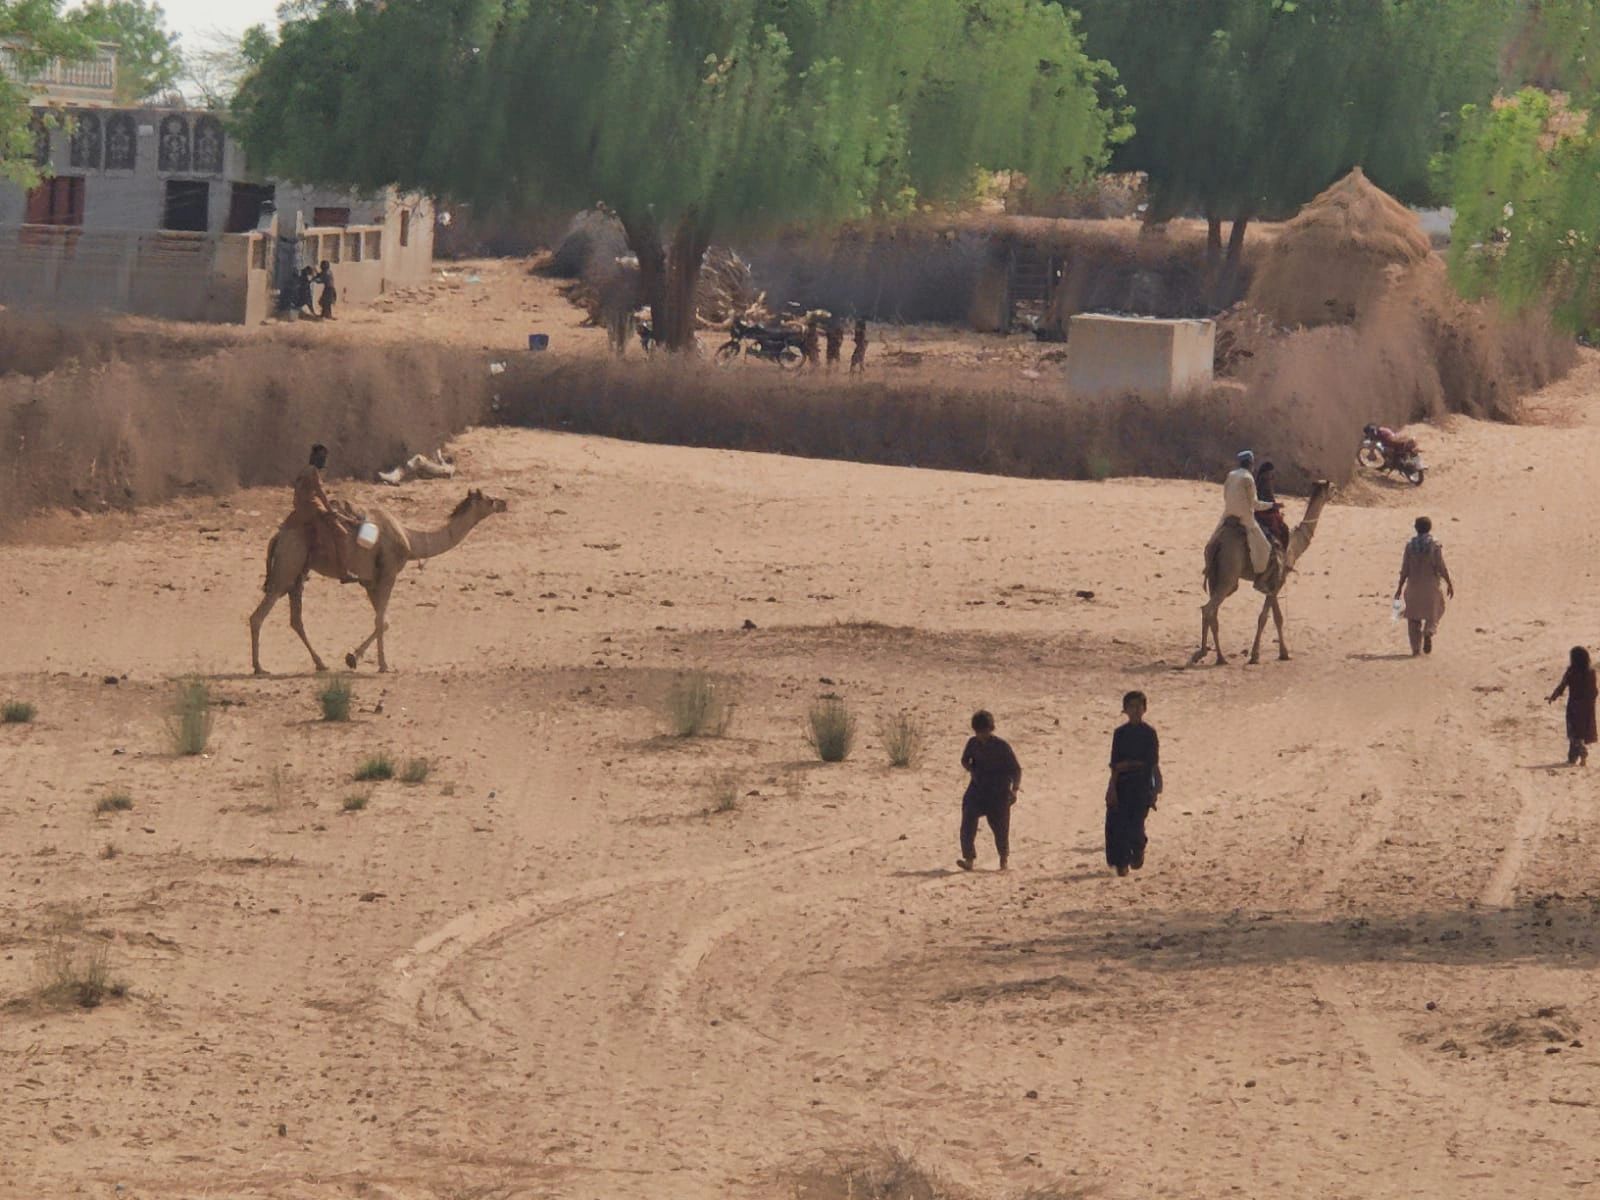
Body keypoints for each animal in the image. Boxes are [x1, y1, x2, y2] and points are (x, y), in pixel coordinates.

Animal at [249, 488, 507, 675]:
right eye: (489, 499)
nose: (504, 502)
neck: (410, 540)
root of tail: (278, 535)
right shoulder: (388, 573)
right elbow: (381, 621)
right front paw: (382, 665)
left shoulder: (370, 581)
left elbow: (384, 622)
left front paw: (353, 658)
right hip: (288, 566)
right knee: (259, 615)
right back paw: (259, 667)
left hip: (298, 574)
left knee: (295, 619)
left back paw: (320, 663)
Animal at [1191, 480, 1332, 666]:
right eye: (1331, 488)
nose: (1335, 493)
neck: (1294, 545)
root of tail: (1218, 543)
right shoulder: (1279, 579)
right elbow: (1267, 617)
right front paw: (1257, 655)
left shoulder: (1273, 583)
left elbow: (1276, 616)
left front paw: (1281, 653)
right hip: (1229, 575)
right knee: (1209, 609)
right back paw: (1220, 658)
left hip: (1216, 576)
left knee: (1210, 610)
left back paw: (1203, 652)